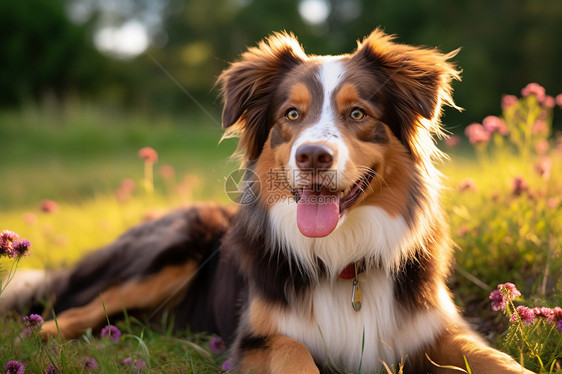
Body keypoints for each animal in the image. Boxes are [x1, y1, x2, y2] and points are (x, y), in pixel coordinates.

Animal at [3, 30, 528, 374]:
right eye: (291, 115)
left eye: (358, 113)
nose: (313, 156)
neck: (342, 262)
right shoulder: (257, 338)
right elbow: (296, 355)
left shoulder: (437, 331)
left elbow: (497, 360)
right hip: (169, 255)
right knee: (73, 313)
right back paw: (34, 338)